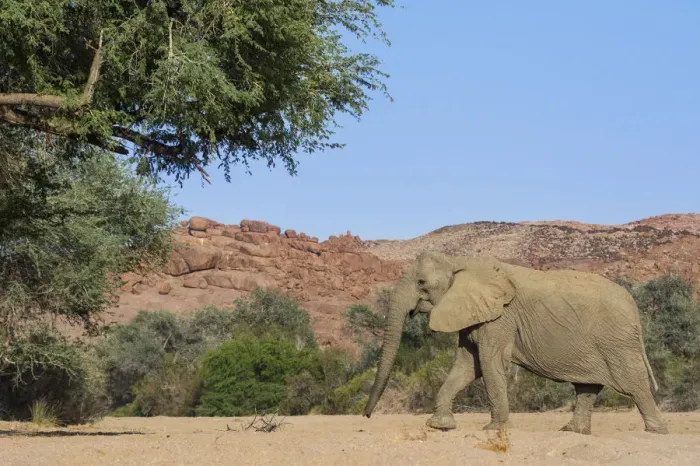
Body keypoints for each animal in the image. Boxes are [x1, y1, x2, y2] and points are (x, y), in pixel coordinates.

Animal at [362, 251, 668, 435]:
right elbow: (466, 366)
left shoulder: (500, 317)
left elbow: (489, 362)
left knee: (634, 383)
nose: (365, 417)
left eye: (422, 283)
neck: (459, 261)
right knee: (587, 386)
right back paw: (571, 431)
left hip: (616, 340)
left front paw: (494, 430)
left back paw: (657, 431)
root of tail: (634, 307)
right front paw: (440, 426)